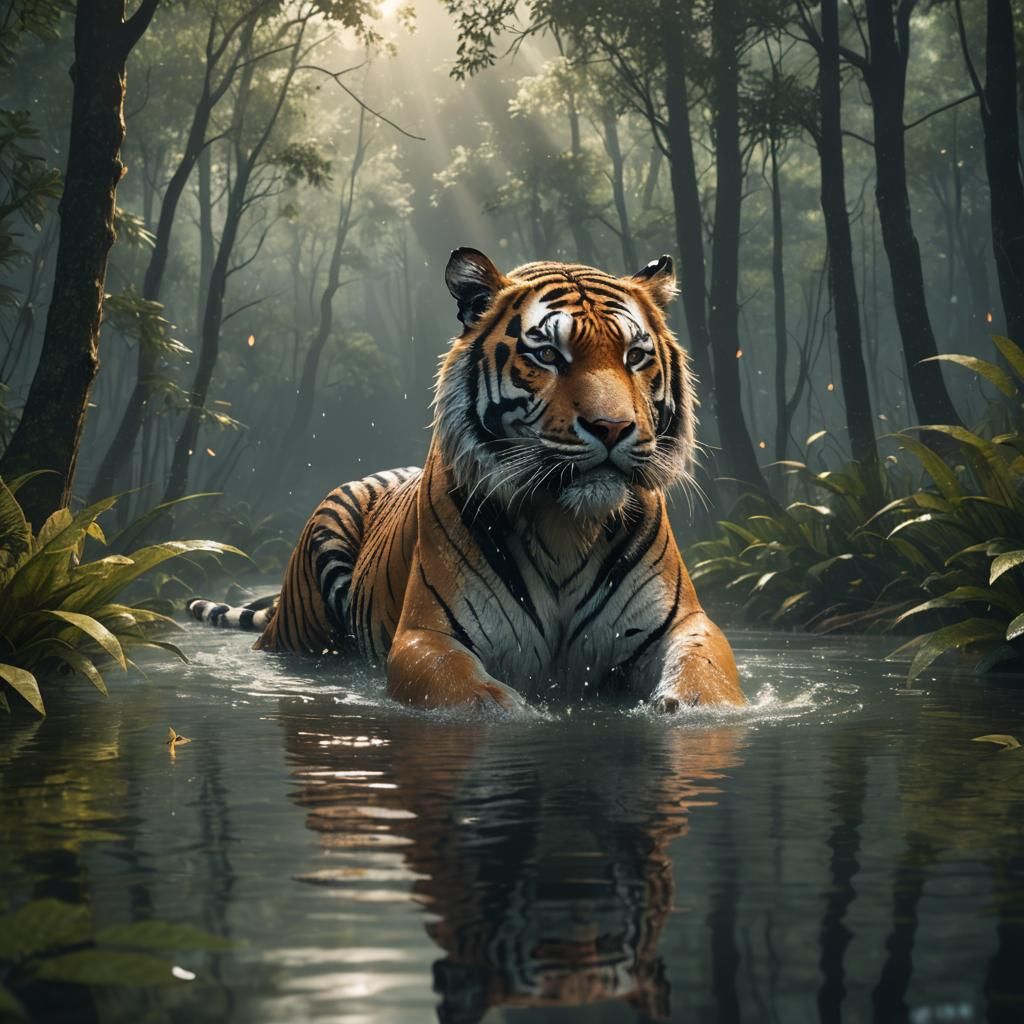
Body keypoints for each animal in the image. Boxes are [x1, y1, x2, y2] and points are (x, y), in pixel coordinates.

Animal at [188, 247, 743, 711]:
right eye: (548, 355)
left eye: (635, 356)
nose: (612, 427)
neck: (565, 524)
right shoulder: (429, 634)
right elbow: (473, 699)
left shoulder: (685, 624)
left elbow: (706, 680)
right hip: (302, 613)